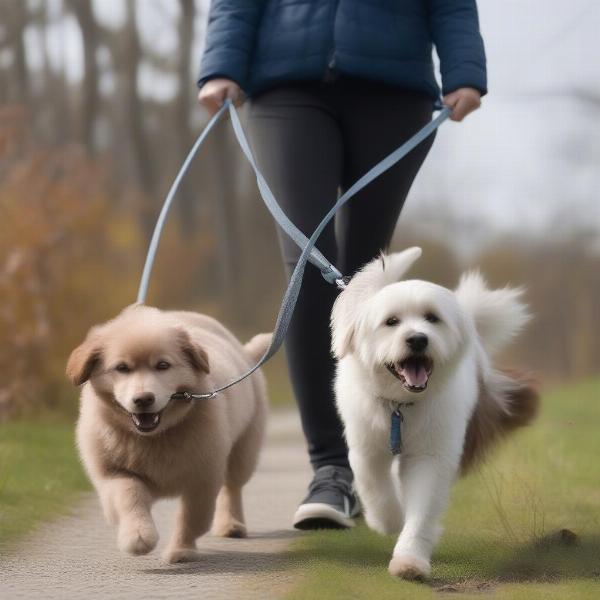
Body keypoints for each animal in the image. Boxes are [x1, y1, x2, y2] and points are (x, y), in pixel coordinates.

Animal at [66, 304, 270, 564]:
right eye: (122, 368)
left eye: (162, 365)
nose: (143, 399)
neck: (154, 438)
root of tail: (245, 353)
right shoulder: (113, 473)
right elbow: (129, 496)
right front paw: (138, 536)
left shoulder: (202, 478)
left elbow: (192, 517)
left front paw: (181, 550)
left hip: (244, 449)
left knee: (232, 487)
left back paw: (231, 524)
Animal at [332, 246, 540, 580]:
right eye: (391, 321)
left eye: (432, 318)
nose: (417, 338)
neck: (401, 407)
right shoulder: (366, 447)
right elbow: (374, 485)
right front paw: (389, 520)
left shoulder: (431, 455)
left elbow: (422, 508)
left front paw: (409, 561)